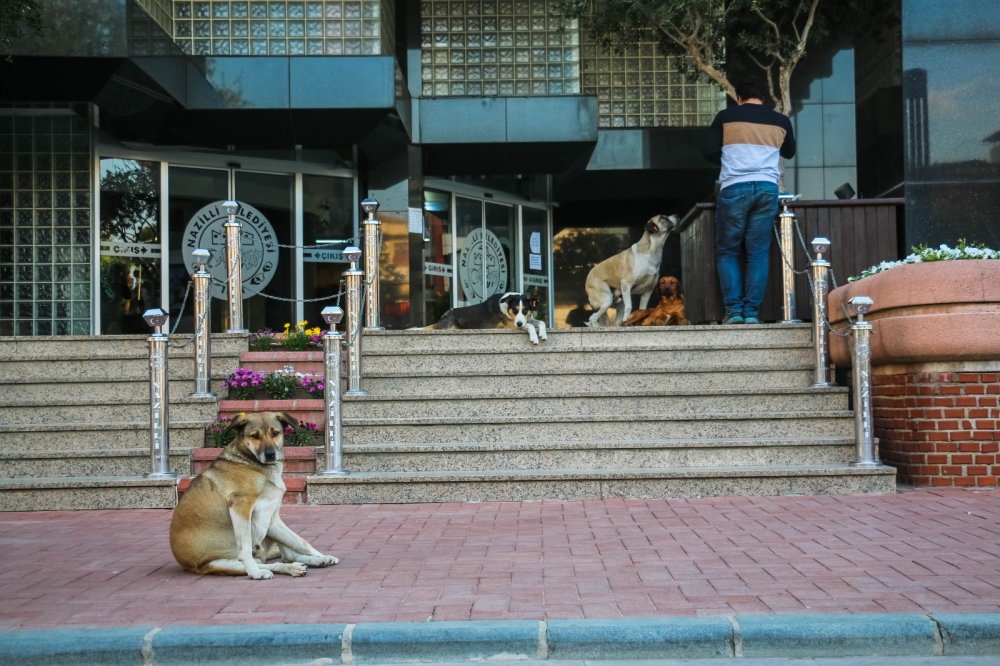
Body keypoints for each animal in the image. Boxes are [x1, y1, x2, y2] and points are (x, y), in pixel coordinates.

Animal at [165, 410, 336, 576]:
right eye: (254, 436)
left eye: (275, 433)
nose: (270, 454)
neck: (253, 464)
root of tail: (185, 564)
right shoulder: (240, 507)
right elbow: (245, 546)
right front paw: (254, 573)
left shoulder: (272, 518)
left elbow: (301, 542)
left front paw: (322, 556)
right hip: (222, 563)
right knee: (266, 563)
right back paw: (275, 570)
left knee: (288, 555)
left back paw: (314, 561)